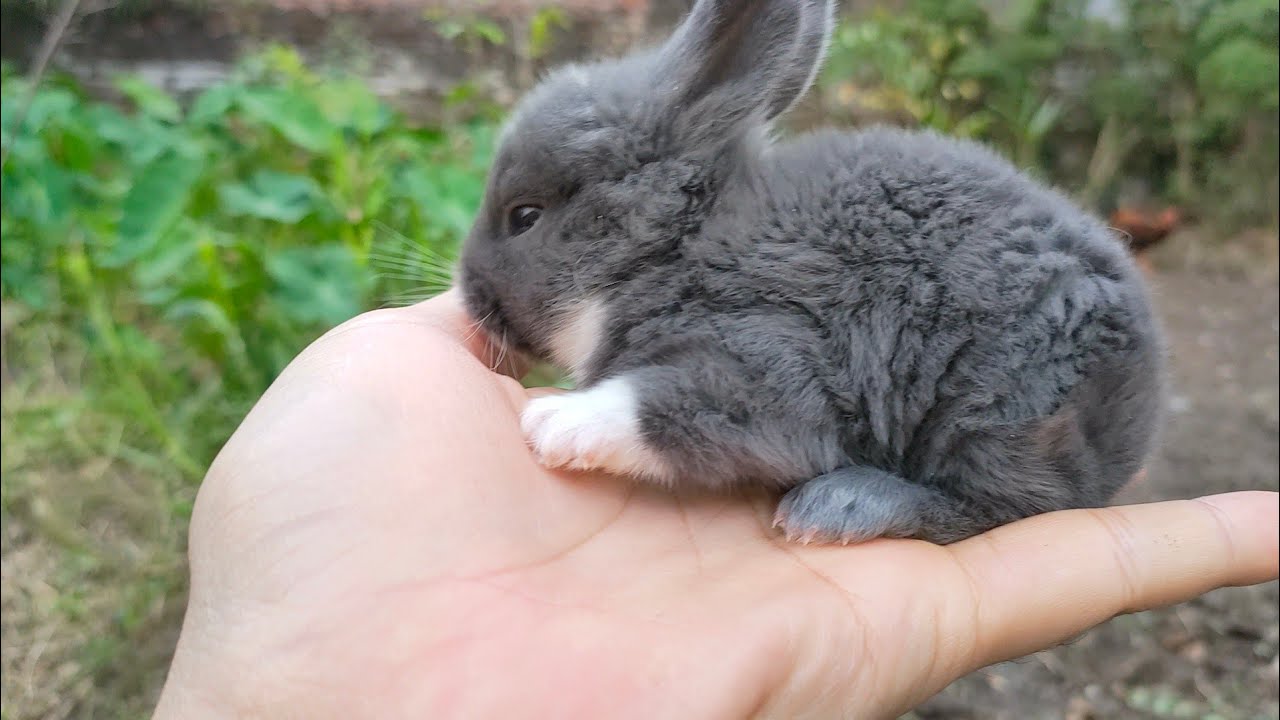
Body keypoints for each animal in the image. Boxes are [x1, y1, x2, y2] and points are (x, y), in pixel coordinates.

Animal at [456, 0, 1165, 545]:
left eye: (525, 216)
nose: (470, 299)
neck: (672, 246)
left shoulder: (769, 351)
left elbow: (661, 404)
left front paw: (556, 424)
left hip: (999, 410)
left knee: (1007, 505)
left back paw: (841, 507)